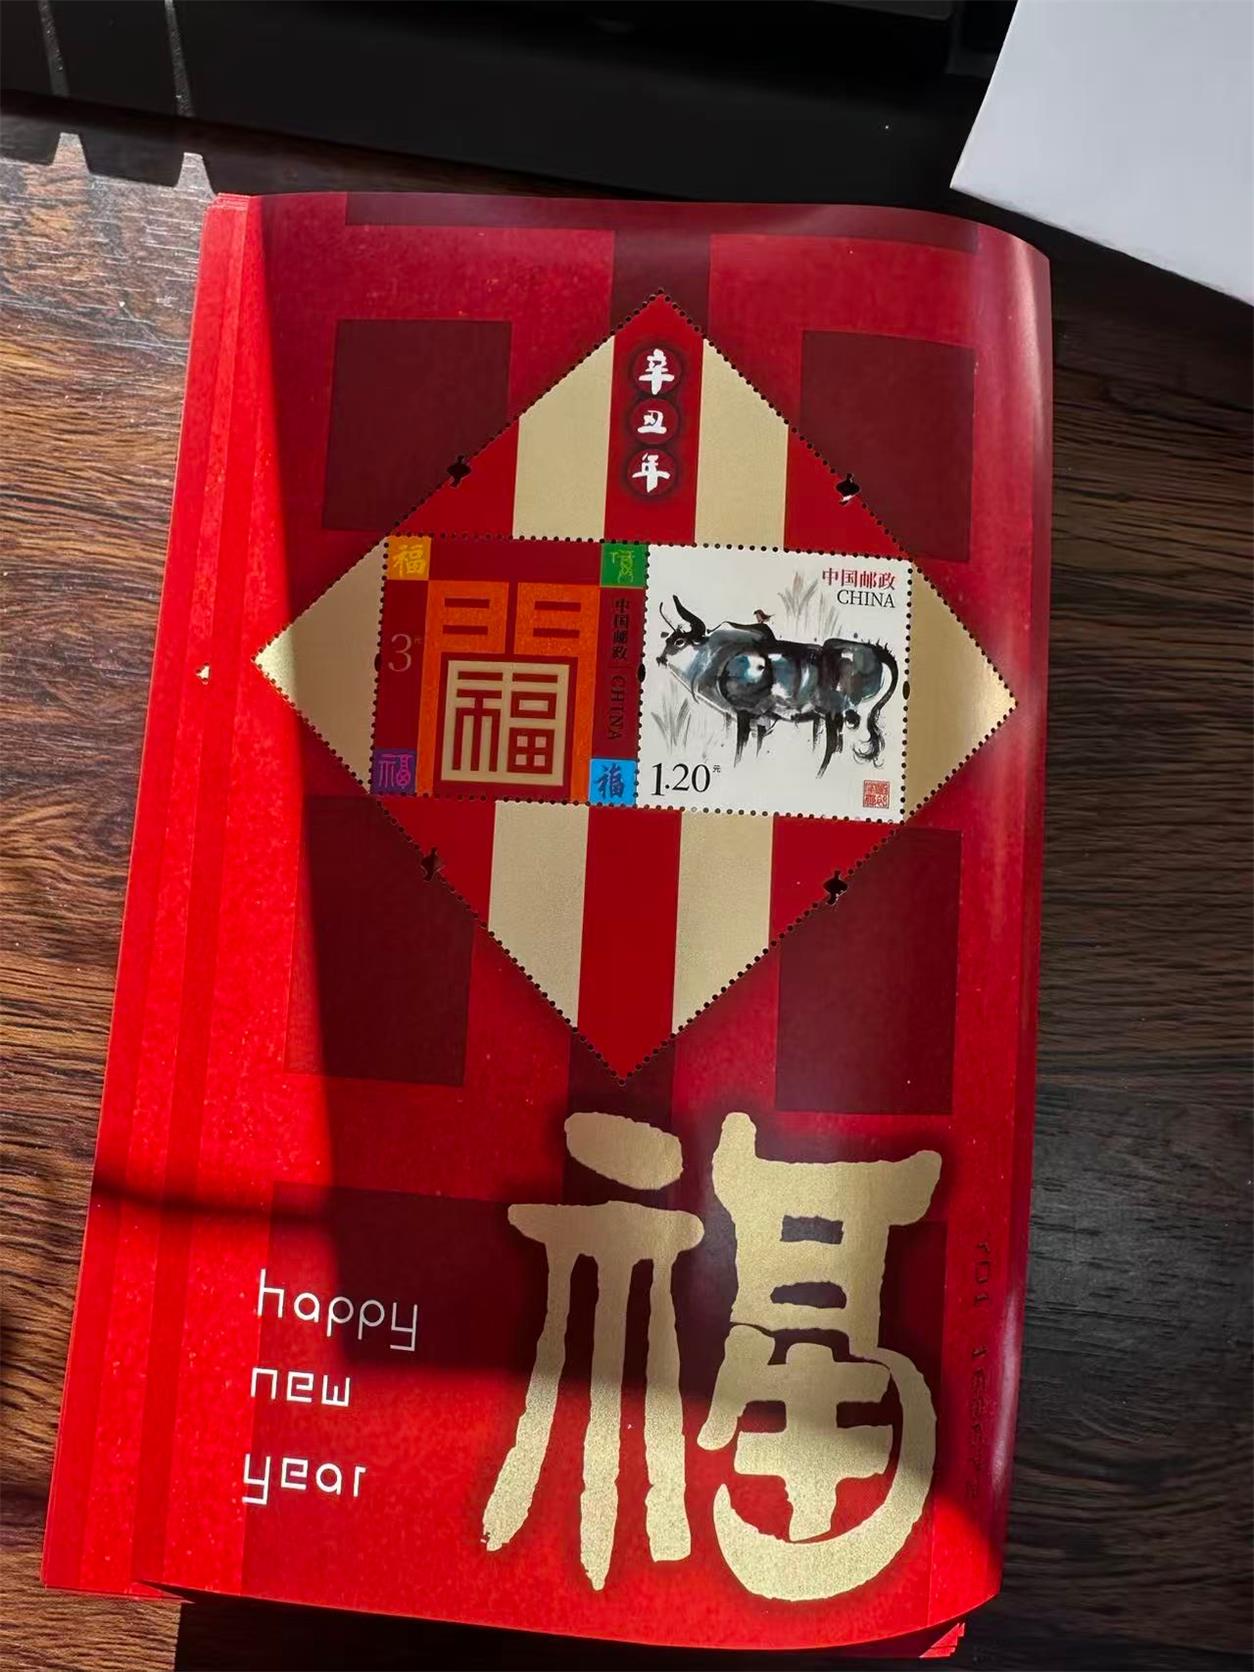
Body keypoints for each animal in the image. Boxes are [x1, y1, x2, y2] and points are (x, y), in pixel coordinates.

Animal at [656, 596, 899, 776]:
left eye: (680, 641)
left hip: (834, 715)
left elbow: (740, 751)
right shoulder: (761, 721)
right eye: (669, 639)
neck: (720, 656)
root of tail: (876, 652)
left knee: (831, 748)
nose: (660, 659)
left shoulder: (744, 714)